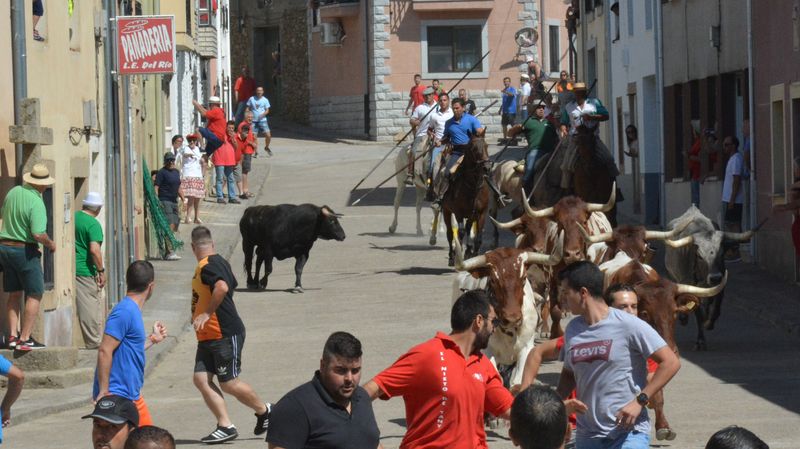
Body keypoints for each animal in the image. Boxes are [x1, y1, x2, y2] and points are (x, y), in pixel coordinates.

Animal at [440, 137, 492, 266]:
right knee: (450, 233)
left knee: (468, 228)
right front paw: (458, 255)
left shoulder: (481, 213)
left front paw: (474, 254)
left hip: (471, 215)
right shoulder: (458, 213)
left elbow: (478, 236)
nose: (487, 167)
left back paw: (468, 250)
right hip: (447, 212)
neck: (473, 186)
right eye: (473, 148)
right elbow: (460, 233)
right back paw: (452, 257)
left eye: (486, 146)